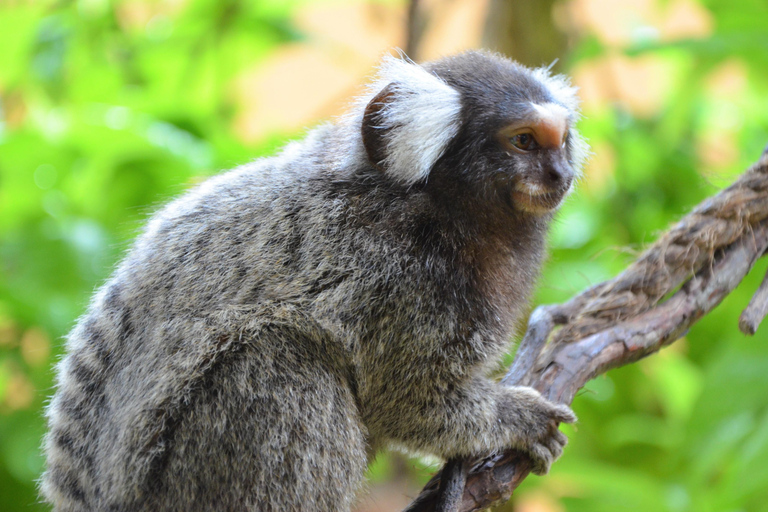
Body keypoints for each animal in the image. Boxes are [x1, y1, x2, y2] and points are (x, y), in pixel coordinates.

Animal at [42, 49, 588, 512]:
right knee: (282, 358)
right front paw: (516, 419)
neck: (438, 207)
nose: (559, 173)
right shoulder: (399, 282)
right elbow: (407, 400)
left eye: (560, 141)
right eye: (524, 141)